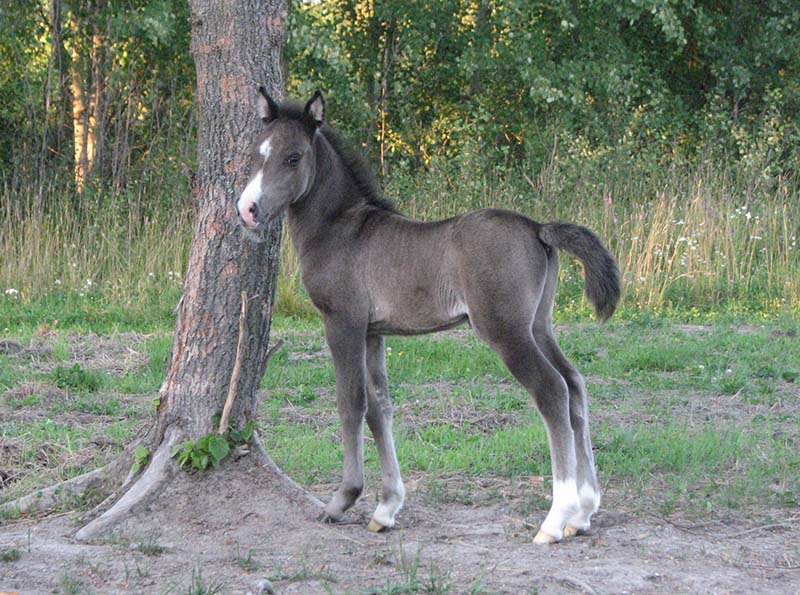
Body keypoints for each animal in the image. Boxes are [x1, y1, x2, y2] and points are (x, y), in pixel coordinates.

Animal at [234, 89, 620, 544]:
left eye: (293, 157)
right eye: (256, 154)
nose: (248, 209)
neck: (340, 229)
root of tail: (538, 227)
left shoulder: (342, 322)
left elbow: (350, 402)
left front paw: (342, 499)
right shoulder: (373, 332)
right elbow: (379, 407)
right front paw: (386, 508)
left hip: (506, 331)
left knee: (552, 390)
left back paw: (555, 519)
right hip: (538, 326)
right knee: (575, 384)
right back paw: (584, 511)